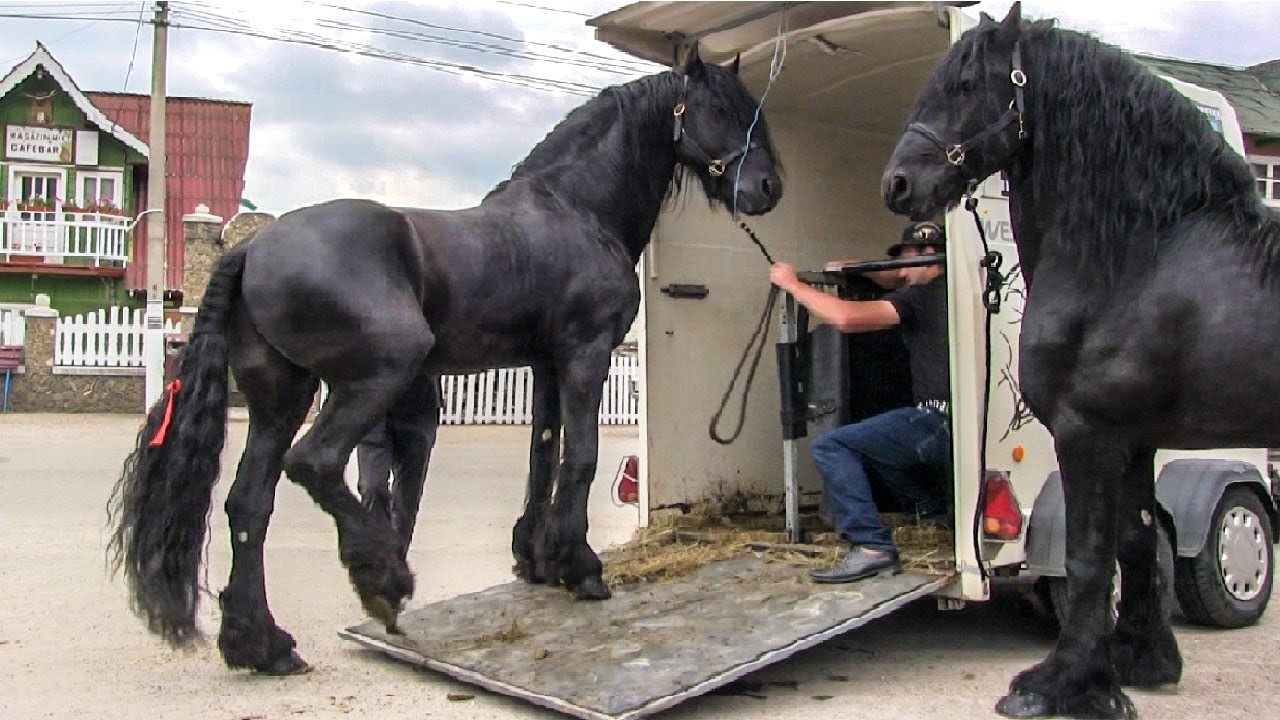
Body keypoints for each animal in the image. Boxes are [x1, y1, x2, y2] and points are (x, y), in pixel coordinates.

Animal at [107, 44, 782, 675]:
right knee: (314, 462)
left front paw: (535, 558)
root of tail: (252, 250)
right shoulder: (586, 354)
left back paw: (262, 645)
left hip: (283, 397)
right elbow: (582, 457)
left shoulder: (546, 365)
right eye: (717, 109)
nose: (769, 188)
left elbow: (542, 454)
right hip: (379, 374)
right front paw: (580, 567)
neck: (576, 209)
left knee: (250, 502)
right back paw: (383, 578)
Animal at [882, 3, 1280, 718]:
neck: (1138, 256)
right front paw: (1142, 661)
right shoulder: (1136, 440)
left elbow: (1090, 558)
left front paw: (1059, 685)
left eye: (966, 85)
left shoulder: (1086, 433)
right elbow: (1136, 542)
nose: (897, 183)